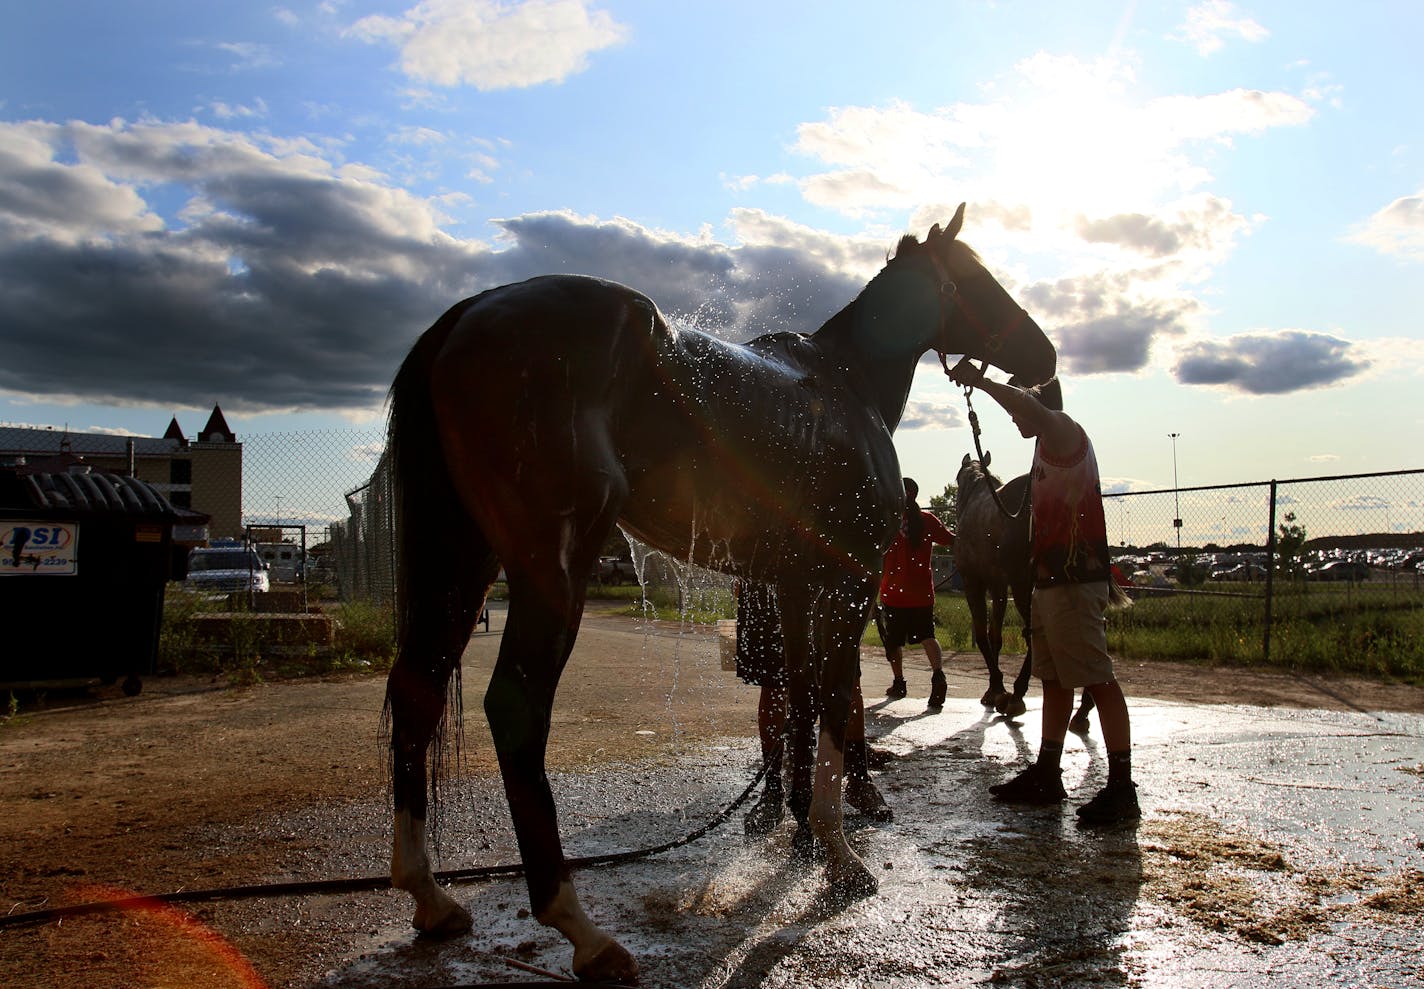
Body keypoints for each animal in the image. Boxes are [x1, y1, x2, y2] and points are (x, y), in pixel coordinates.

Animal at [384, 203, 1053, 984]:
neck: (844, 385)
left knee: (417, 691)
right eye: (975, 277)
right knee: (515, 709)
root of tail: (467, 315)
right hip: (549, 569)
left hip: (462, 560)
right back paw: (583, 932)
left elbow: (798, 703)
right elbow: (834, 702)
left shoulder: (794, 588)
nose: (1045, 358)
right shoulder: (847, 586)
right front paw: (838, 854)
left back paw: (430, 898)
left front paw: (798, 836)